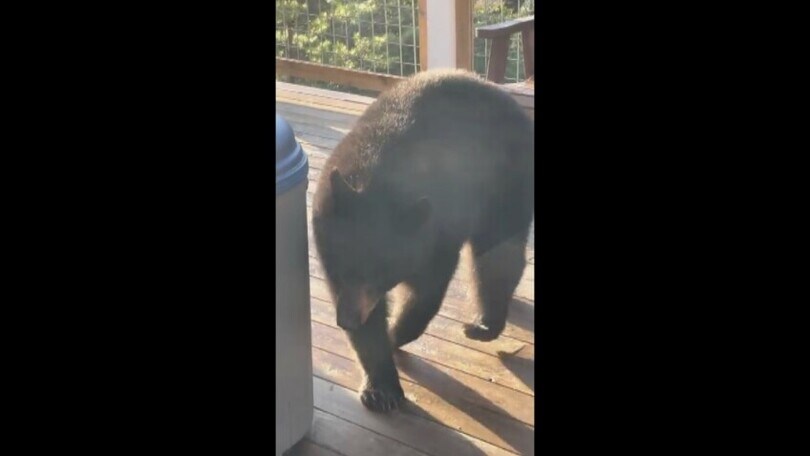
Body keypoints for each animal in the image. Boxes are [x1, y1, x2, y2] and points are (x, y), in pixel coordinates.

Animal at [312, 69, 534, 413]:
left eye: (382, 273)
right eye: (338, 266)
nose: (347, 320)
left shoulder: (437, 234)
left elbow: (426, 292)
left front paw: (394, 335)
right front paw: (381, 387)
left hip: (506, 181)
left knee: (498, 256)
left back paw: (483, 324)